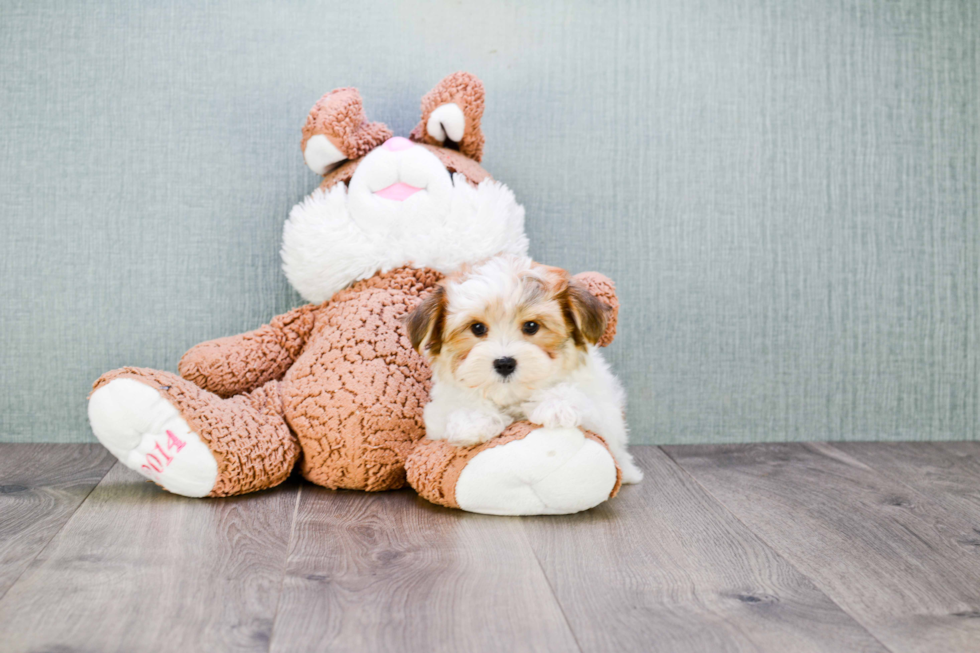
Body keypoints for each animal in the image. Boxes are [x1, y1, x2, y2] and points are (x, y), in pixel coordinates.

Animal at [406, 255, 644, 484]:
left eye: (531, 326)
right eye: (477, 328)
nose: (504, 363)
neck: (513, 397)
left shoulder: (605, 415)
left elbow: (584, 405)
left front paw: (557, 405)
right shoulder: (437, 418)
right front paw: (473, 420)